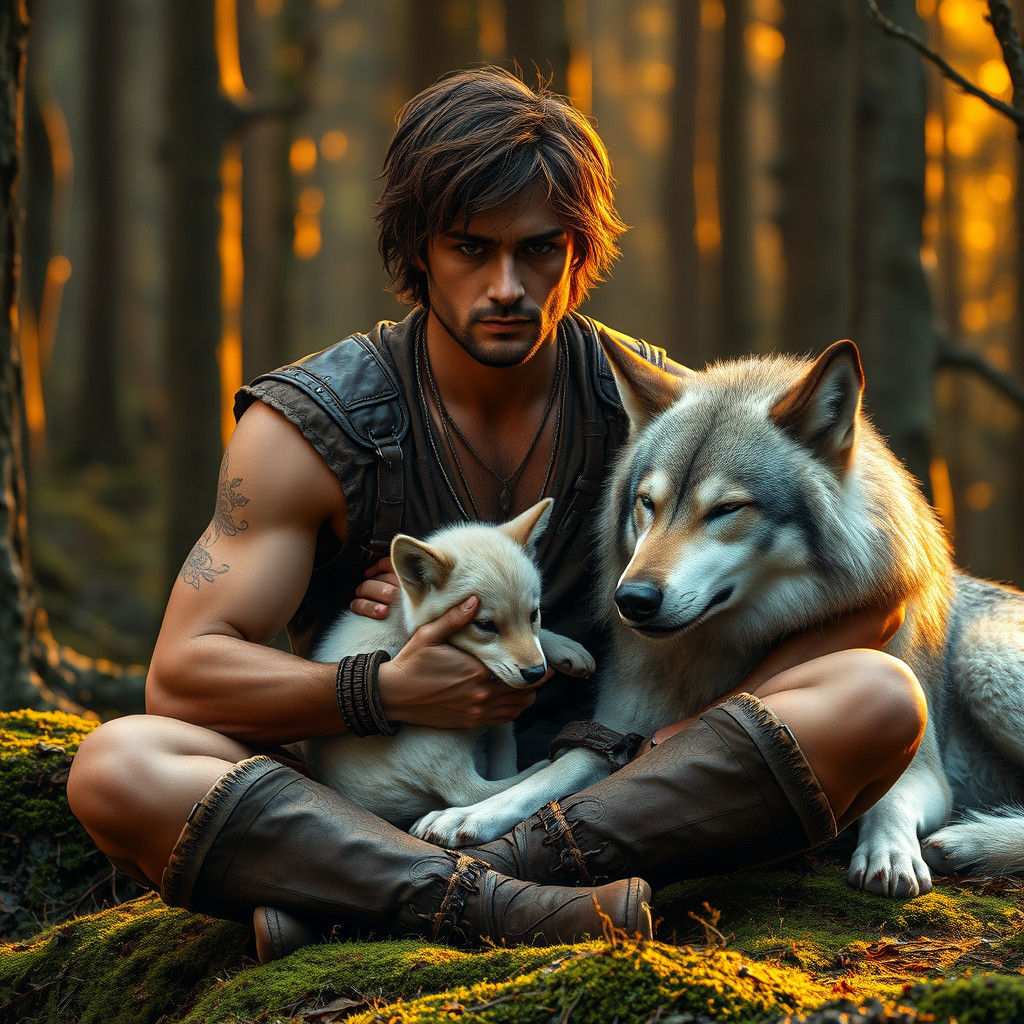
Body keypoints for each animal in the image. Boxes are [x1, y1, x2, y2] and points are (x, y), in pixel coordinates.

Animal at [301, 498, 595, 831]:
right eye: (485, 625)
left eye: (533, 615)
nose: (535, 673)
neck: (403, 621)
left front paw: (564, 647)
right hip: (438, 735)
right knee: (470, 791)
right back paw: (545, 765)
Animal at [415, 336, 1024, 900]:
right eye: (648, 503)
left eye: (727, 510)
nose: (632, 598)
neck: (720, 652)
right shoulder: (616, 728)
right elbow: (558, 771)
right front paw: (472, 814)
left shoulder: (927, 773)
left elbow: (892, 801)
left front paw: (890, 854)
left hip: (984, 662)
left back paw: (965, 841)